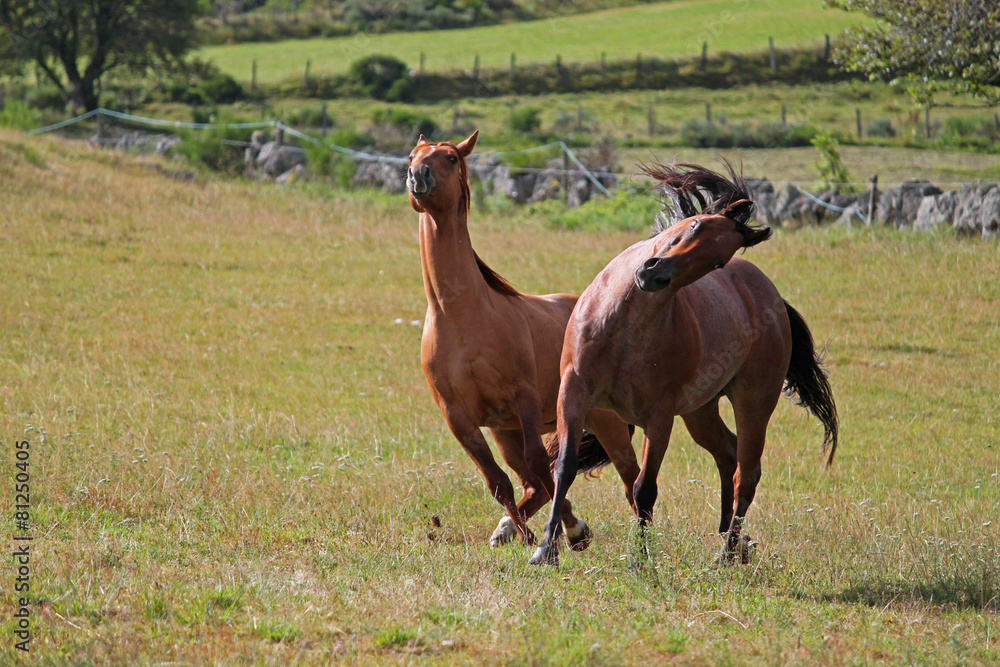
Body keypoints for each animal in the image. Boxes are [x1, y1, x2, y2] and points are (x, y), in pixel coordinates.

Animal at [406, 130, 640, 549]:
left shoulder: (524, 399)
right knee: (534, 484)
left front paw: (572, 530)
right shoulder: (460, 417)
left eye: (450, 158)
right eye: (412, 155)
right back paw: (506, 530)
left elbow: (541, 467)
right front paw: (530, 533)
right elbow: (499, 481)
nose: (418, 176)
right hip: (508, 431)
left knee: (630, 479)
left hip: (605, 422)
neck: (462, 315)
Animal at [529, 162, 838, 566]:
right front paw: (545, 550)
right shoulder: (573, 394)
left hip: (753, 401)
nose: (652, 274)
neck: (622, 328)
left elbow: (644, 488)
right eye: (696, 225)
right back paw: (732, 539)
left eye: (717, 260)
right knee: (727, 454)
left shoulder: (658, 417)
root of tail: (772, 297)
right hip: (700, 411)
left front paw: (640, 559)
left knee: (747, 473)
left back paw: (727, 551)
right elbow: (563, 469)